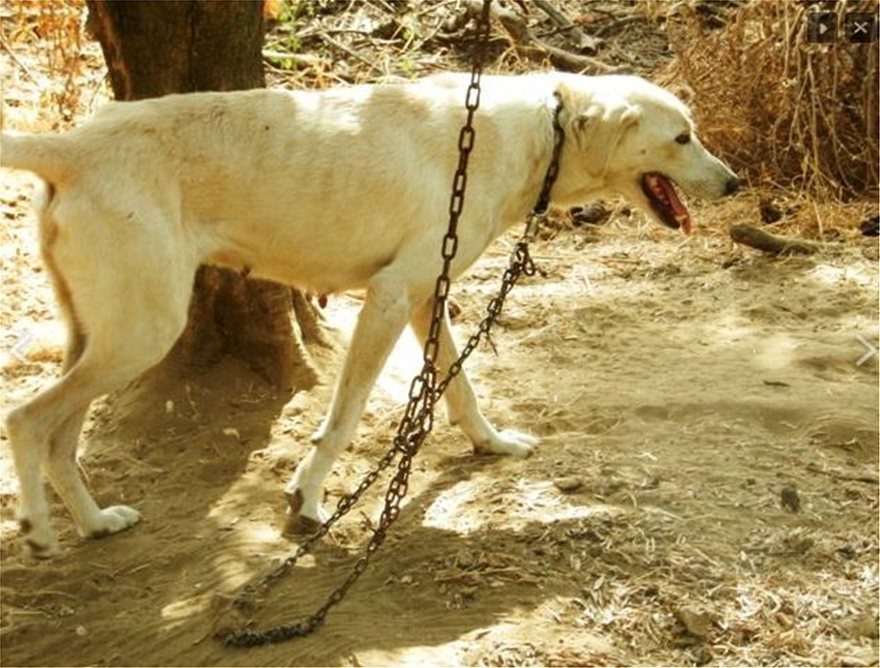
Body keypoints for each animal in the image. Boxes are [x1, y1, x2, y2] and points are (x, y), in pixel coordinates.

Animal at [1, 70, 736, 556]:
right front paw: (306, 499)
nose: (734, 183)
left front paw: (491, 444)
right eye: (682, 137)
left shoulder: (427, 296)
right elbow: (344, 416)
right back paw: (39, 532)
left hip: (101, 335)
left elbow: (461, 390)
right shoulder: (388, 297)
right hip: (142, 334)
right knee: (26, 419)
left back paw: (94, 524)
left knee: (61, 438)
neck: (537, 133)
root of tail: (75, 145)